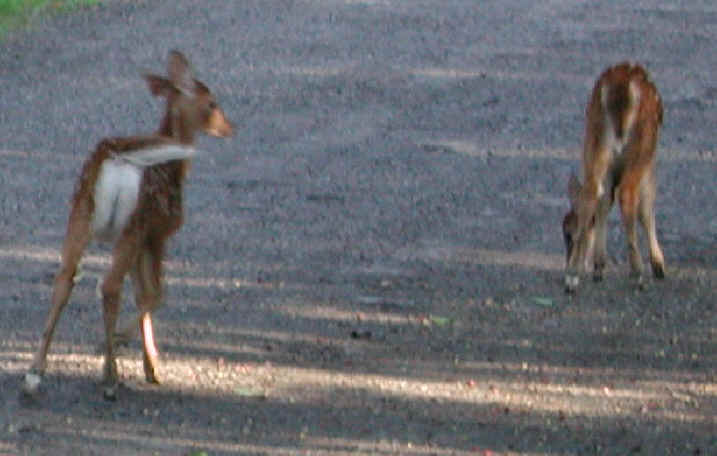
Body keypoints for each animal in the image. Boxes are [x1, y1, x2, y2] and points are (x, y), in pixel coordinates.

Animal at [22, 50, 233, 400]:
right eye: (212, 103)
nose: (229, 128)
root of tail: (117, 157)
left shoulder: (143, 239)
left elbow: (142, 294)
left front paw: (151, 367)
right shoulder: (158, 233)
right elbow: (154, 295)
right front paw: (132, 353)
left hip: (80, 214)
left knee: (65, 279)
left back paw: (34, 374)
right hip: (132, 224)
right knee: (109, 286)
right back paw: (110, 377)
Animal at [563, 62, 666, 293]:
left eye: (567, 234)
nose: (568, 259)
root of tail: (621, 88)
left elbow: (604, 203)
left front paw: (598, 266)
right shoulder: (650, 163)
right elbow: (646, 209)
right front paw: (658, 264)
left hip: (594, 142)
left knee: (592, 193)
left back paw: (572, 277)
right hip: (643, 146)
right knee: (628, 195)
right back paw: (638, 274)